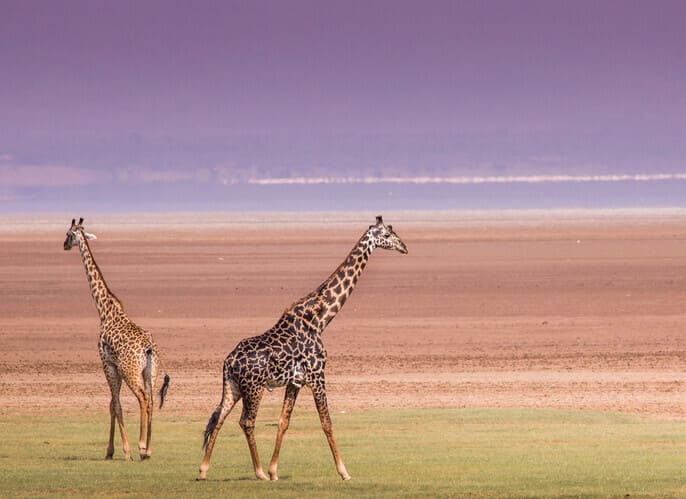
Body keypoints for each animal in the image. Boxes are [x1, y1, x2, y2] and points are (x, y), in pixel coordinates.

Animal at [63, 219, 171, 460]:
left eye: (68, 234)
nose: (64, 245)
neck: (104, 310)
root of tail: (148, 348)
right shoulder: (114, 366)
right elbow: (112, 404)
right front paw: (110, 450)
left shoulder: (107, 363)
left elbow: (116, 405)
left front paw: (124, 450)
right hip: (151, 372)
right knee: (151, 400)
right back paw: (149, 449)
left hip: (130, 371)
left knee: (142, 398)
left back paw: (141, 446)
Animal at [199, 215, 412, 480]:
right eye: (387, 234)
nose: (404, 247)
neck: (320, 319)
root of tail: (229, 361)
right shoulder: (317, 374)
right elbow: (327, 422)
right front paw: (344, 471)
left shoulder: (296, 381)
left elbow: (283, 422)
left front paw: (274, 471)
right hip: (254, 388)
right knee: (246, 421)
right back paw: (258, 472)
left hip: (232, 387)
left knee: (218, 417)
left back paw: (203, 470)